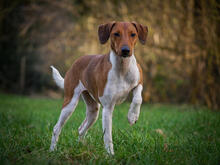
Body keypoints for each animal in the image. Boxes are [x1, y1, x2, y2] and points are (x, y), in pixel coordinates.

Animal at [49, 21, 148, 155]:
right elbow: (107, 136)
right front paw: (110, 155)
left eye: (133, 34)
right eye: (116, 34)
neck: (122, 68)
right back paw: (52, 150)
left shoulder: (139, 81)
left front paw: (132, 116)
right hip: (70, 104)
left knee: (81, 129)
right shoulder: (107, 108)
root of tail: (76, 61)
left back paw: (81, 147)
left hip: (93, 111)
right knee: (56, 128)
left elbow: (138, 98)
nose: (125, 50)